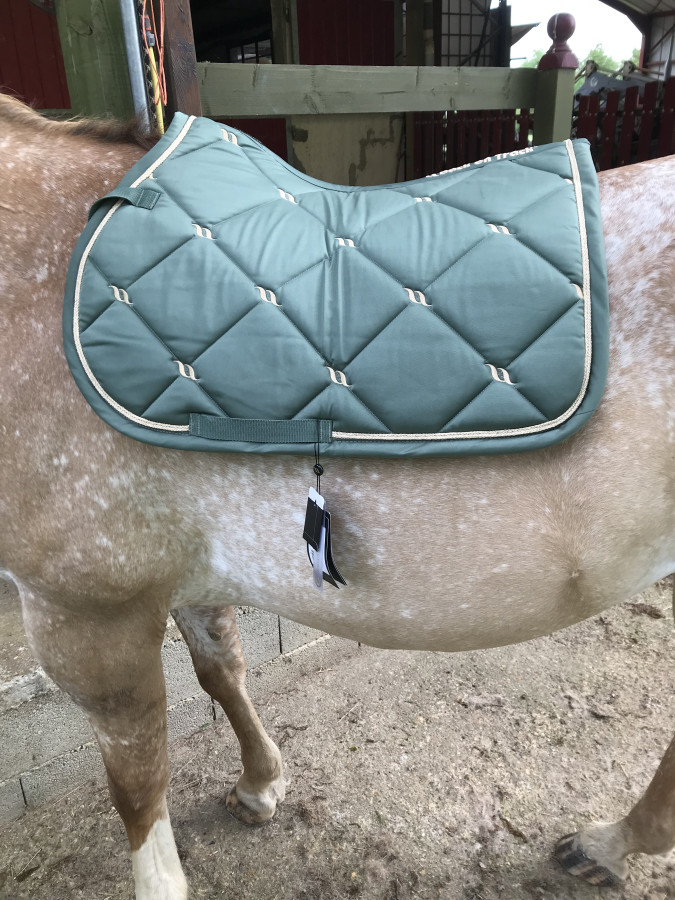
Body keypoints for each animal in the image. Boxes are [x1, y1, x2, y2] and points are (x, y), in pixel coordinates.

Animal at [0, 95, 672, 900]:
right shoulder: (177, 575)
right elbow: (220, 671)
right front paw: (261, 785)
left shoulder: (86, 613)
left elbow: (137, 784)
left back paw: (607, 845)